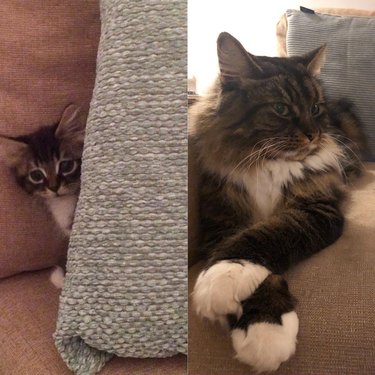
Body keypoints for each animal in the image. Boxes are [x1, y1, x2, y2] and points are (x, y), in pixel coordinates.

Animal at [189, 33, 368, 374]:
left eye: (315, 107)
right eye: (282, 108)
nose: (313, 134)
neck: (269, 164)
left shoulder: (318, 209)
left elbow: (269, 233)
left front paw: (225, 280)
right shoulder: (224, 218)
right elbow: (251, 243)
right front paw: (263, 329)